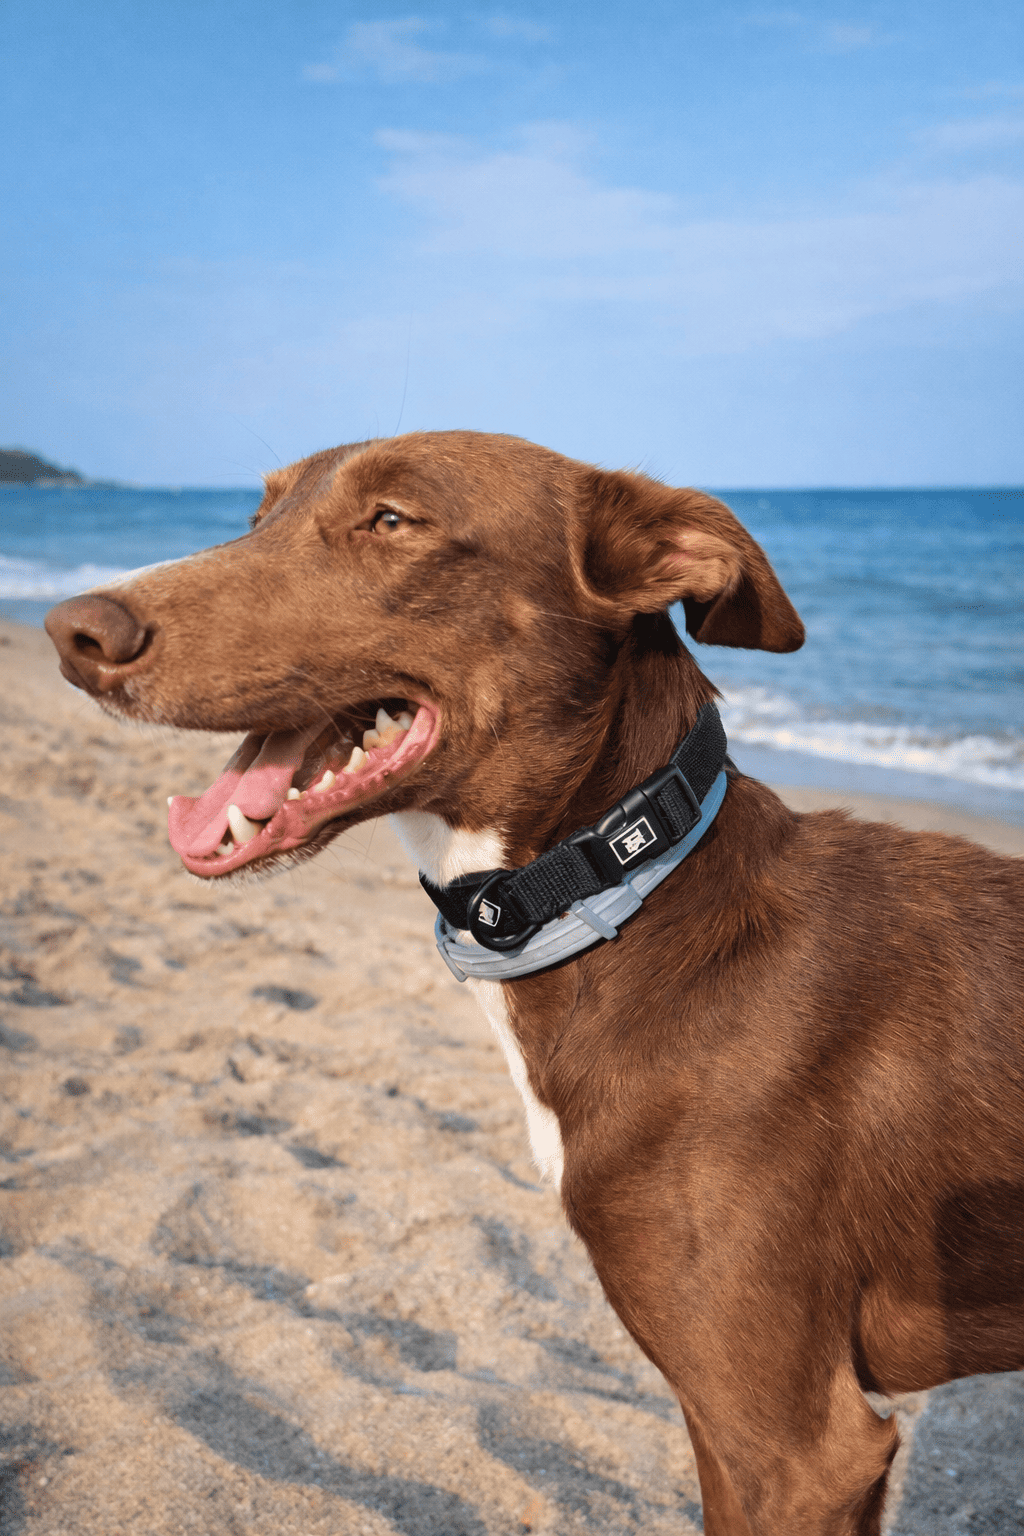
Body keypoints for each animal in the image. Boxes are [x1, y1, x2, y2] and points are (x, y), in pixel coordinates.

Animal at [45, 431, 1023, 1535]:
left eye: (392, 521)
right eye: (259, 517)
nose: (73, 631)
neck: (632, 889)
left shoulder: (801, 1444)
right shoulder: (732, 1423)